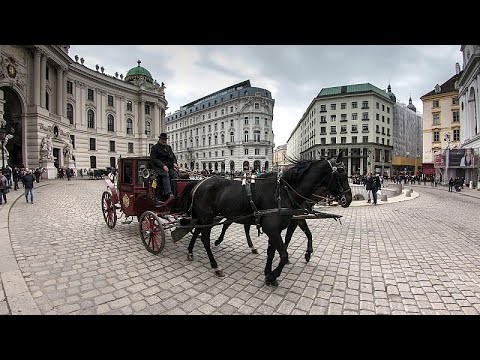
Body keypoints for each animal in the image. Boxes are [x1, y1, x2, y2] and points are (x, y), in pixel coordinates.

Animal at [180, 153, 352, 286]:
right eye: (342, 171)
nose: (348, 199)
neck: (283, 192)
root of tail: (199, 183)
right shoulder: (273, 228)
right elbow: (283, 253)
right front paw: (273, 275)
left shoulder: (277, 228)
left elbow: (272, 251)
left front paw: (268, 272)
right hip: (207, 217)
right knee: (205, 239)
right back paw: (215, 265)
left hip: (204, 218)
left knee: (198, 232)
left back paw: (190, 251)